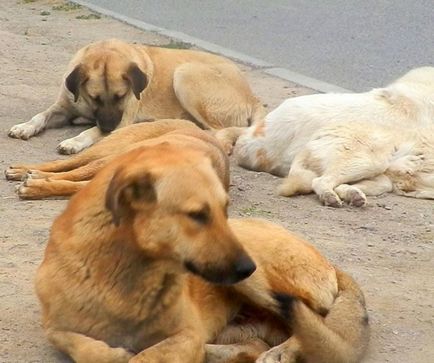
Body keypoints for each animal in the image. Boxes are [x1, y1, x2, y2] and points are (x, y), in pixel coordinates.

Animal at [8, 38, 262, 155]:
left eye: (121, 96)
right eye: (95, 97)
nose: (109, 129)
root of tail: (253, 97)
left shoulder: (123, 120)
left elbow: (91, 131)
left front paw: (74, 141)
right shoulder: (64, 108)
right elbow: (40, 116)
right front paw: (24, 127)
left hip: (185, 74)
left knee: (219, 132)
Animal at [35, 134, 370, 363]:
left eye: (224, 210)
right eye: (198, 215)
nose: (247, 266)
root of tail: (330, 263)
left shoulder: (186, 335)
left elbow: (146, 357)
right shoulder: (54, 328)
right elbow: (81, 344)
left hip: (261, 283)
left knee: (314, 328)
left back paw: (278, 354)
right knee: (257, 344)